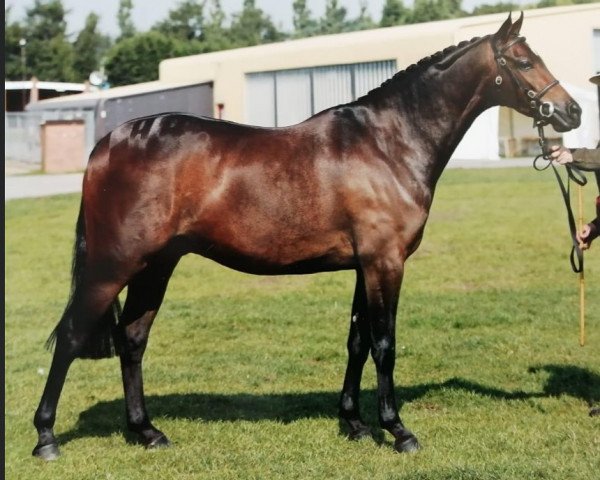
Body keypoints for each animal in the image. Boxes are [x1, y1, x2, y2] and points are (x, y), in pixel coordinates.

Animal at [32, 13, 580, 460]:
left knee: (132, 339)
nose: (571, 112)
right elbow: (385, 343)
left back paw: (147, 432)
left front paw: (354, 422)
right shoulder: (385, 262)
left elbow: (358, 341)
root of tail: (109, 143)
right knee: (71, 336)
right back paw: (46, 438)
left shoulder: (364, 264)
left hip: (156, 266)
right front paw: (397, 430)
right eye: (524, 61)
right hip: (114, 265)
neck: (388, 143)